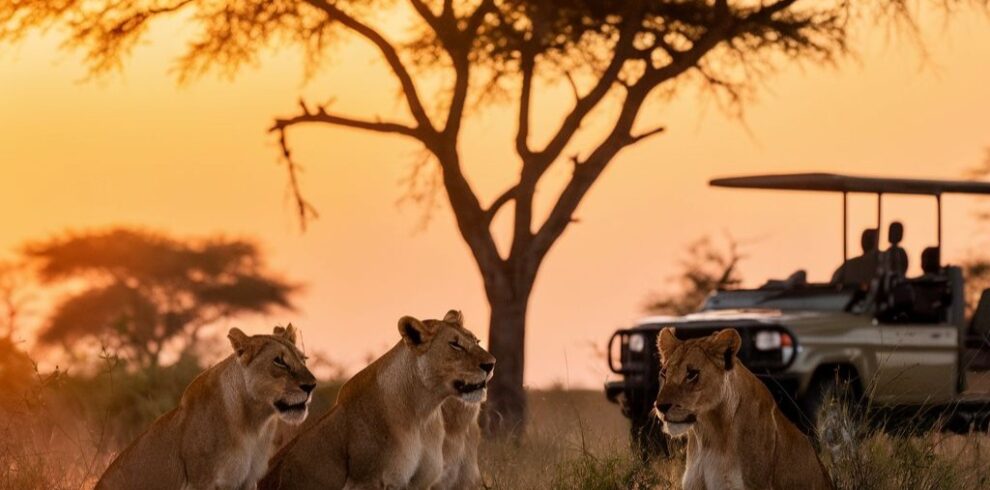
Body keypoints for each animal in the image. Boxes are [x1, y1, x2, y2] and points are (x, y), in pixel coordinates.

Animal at [96, 325, 317, 490]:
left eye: (303, 359)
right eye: (279, 361)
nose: (312, 385)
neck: (254, 423)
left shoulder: (248, 480)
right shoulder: (202, 482)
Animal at [260, 310, 495, 490]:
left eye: (477, 341)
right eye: (455, 345)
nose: (491, 363)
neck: (423, 411)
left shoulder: (422, 482)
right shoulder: (368, 481)